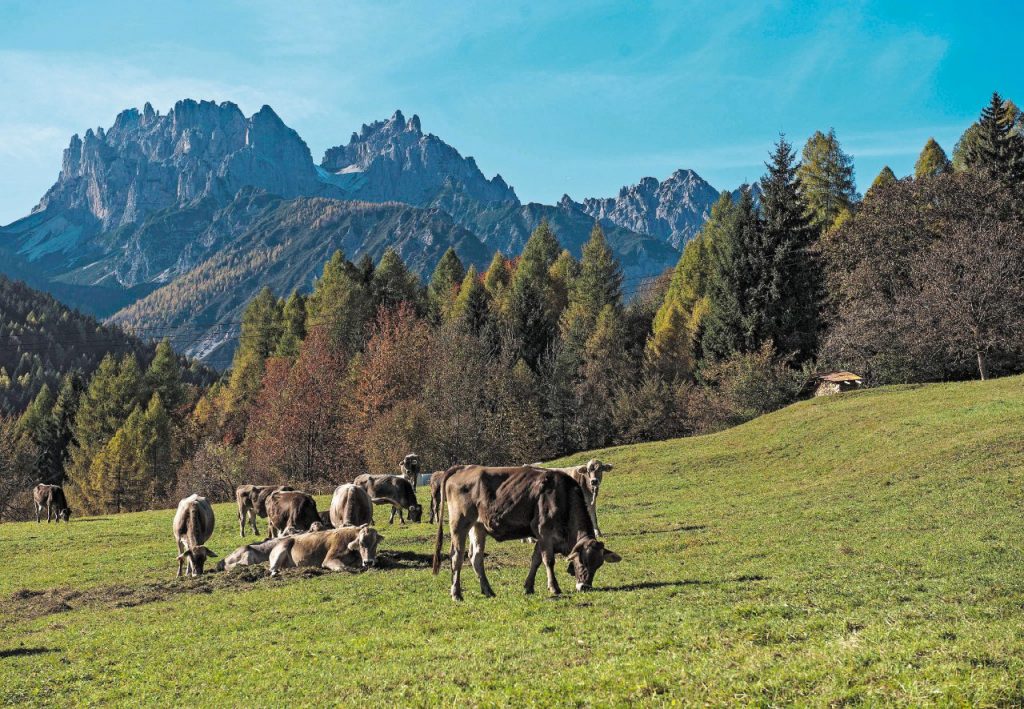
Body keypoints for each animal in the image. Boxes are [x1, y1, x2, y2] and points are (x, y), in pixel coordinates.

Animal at [434, 467, 622, 602]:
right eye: (582, 561)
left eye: (598, 565)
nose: (585, 587)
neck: (562, 496)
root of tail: (464, 468)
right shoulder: (544, 531)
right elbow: (548, 560)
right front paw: (554, 587)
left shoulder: (541, 537)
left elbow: (536, 560)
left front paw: (528, 587)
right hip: (460, 524)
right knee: (457, 556)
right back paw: (456, 594)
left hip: (478, 526)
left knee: (476, 557)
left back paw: (488, 591)